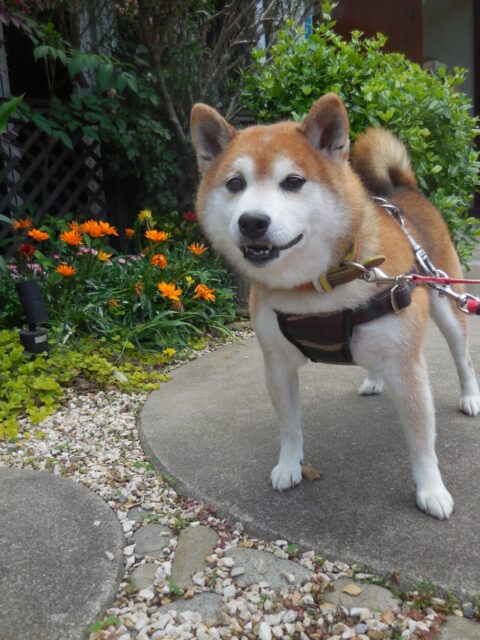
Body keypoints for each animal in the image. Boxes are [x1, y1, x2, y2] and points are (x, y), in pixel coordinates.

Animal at [189, 91, 478, 520]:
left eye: (293, 182)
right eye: (235, 183)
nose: (252, 221)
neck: (322, 282)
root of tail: (403, 192)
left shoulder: (406, 365)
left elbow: (422, 440)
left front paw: (431, 490)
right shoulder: (277, 361)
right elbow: (289, 426)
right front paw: (289, 466)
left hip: (447, 299)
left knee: (463, 357)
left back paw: (470, 396)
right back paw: (374, 380)